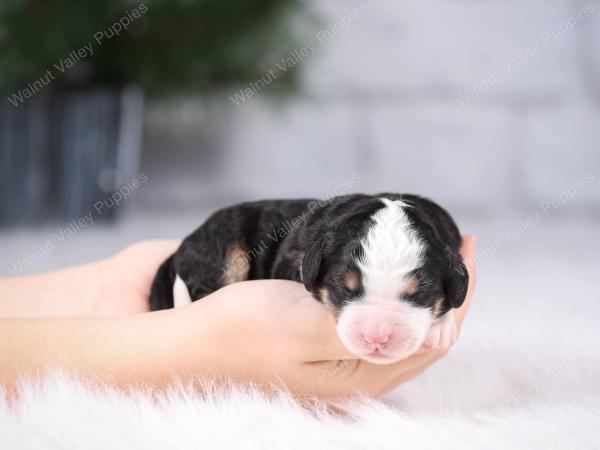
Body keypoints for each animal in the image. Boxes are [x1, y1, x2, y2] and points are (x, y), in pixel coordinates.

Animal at [150, 192, 468, 364]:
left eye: (420, 292)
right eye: (344, 287)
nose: (377, 337)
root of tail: (181, 248)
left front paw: (442, 327)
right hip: (223, 248)